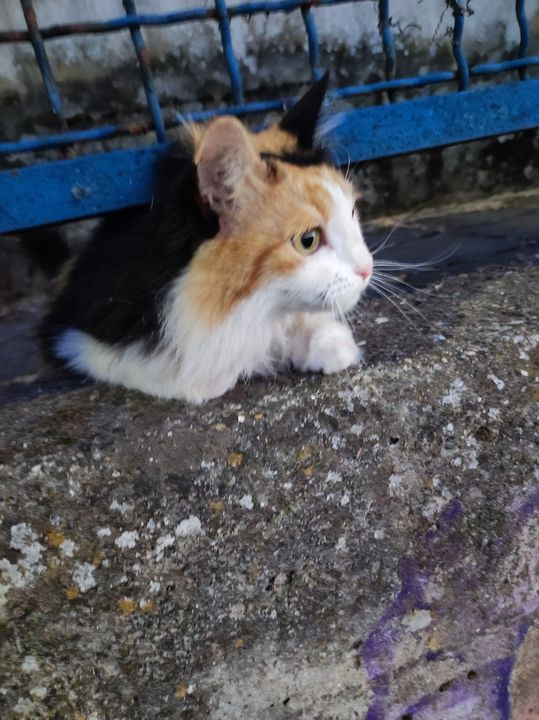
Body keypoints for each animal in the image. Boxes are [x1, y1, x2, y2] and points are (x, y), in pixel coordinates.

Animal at [42, 75, 374, 402]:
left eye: (352, 213)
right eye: (308, 240)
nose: (367, 269)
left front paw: (329, 343)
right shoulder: (78, 335)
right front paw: (212, 377)